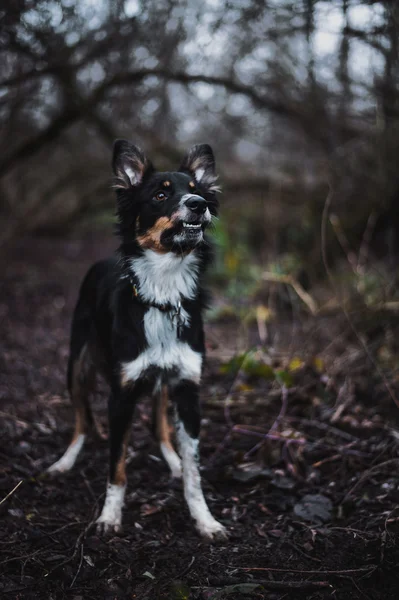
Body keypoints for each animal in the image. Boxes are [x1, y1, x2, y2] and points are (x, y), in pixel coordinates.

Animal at [47, 139, 227, 540]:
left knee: (160, 424)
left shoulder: (188, 388)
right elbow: (116, 468)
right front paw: (109, 517)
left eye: (197, 188)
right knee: (82, 421)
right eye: (160, 194)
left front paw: (204, 519)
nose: (198, 204)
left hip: (162, 382)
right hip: (76, 365)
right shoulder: (121, 395)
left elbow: (194, 472)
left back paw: (172, 460)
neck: (164, 293)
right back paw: (65, 461)